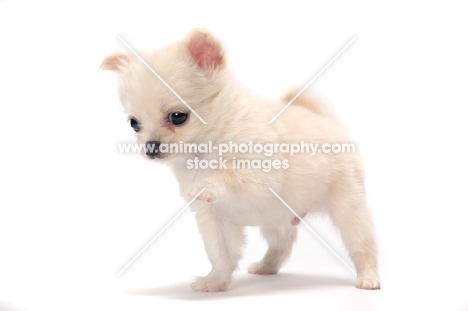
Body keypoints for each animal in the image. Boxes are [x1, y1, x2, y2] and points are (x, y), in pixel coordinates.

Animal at [99, 29, 380, 292]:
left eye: (177, 117)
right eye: (134, 123)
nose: (150, 148)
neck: (207, 147)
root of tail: (329, 123)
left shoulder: (261, 174)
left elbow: (229, 173)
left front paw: (208, 184)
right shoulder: (214, 217)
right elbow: (220, 254)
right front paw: (215, 281)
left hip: (348, 208)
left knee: (362, 245)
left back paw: (368, 278)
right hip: (277, 219)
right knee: (283, 242)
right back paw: (267, 266)